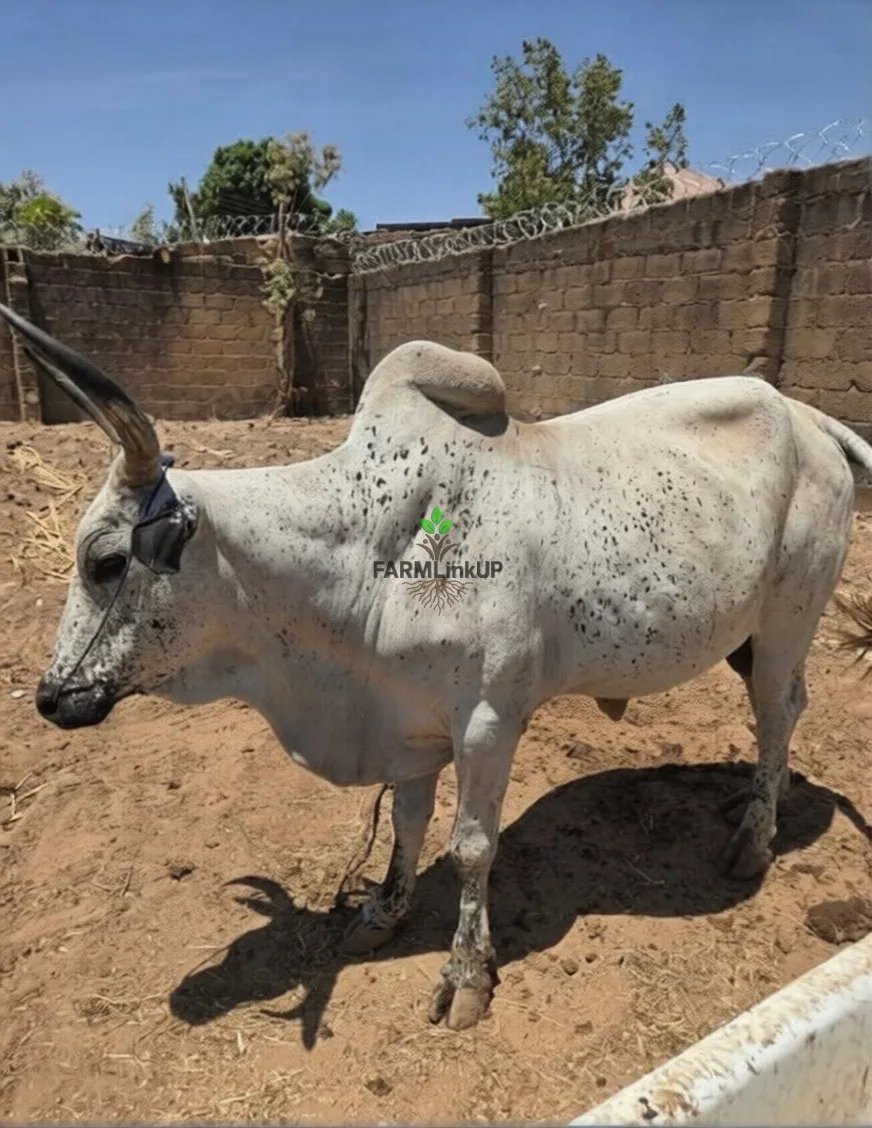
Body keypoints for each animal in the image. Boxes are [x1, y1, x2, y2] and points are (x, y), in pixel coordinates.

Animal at [2, 298, 869, 1032]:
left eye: (107, 561)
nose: (50, 698)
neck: (368, 560)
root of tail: (807, 417)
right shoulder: (407, 723)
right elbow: (410, 824)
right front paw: (383, 912)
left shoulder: (487, 720)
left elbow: (471, 847)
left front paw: (464, 976)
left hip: (787, 621)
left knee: (780, 711)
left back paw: (753, 837)